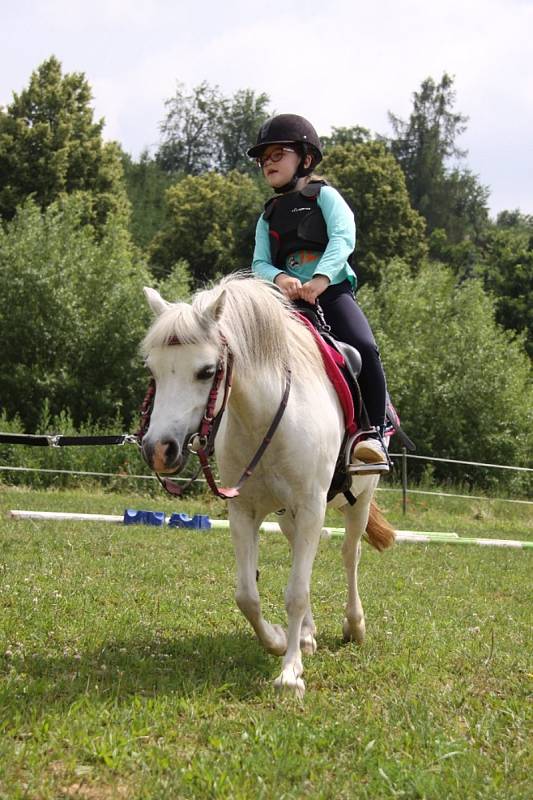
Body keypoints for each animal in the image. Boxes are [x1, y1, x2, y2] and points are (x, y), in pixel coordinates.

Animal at [141, 274, 394, 692]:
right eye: (154, 371)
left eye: (206, 371)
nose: (160, 450)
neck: (267, 415)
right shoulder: (244, 510)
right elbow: (248, 595)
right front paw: (278, 641)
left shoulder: (311, 507)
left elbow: (297, 592)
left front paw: (290, 672)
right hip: (289, 515)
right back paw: (306, 635)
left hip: (358, 498)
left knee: (350, 554)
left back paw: (354, 626)